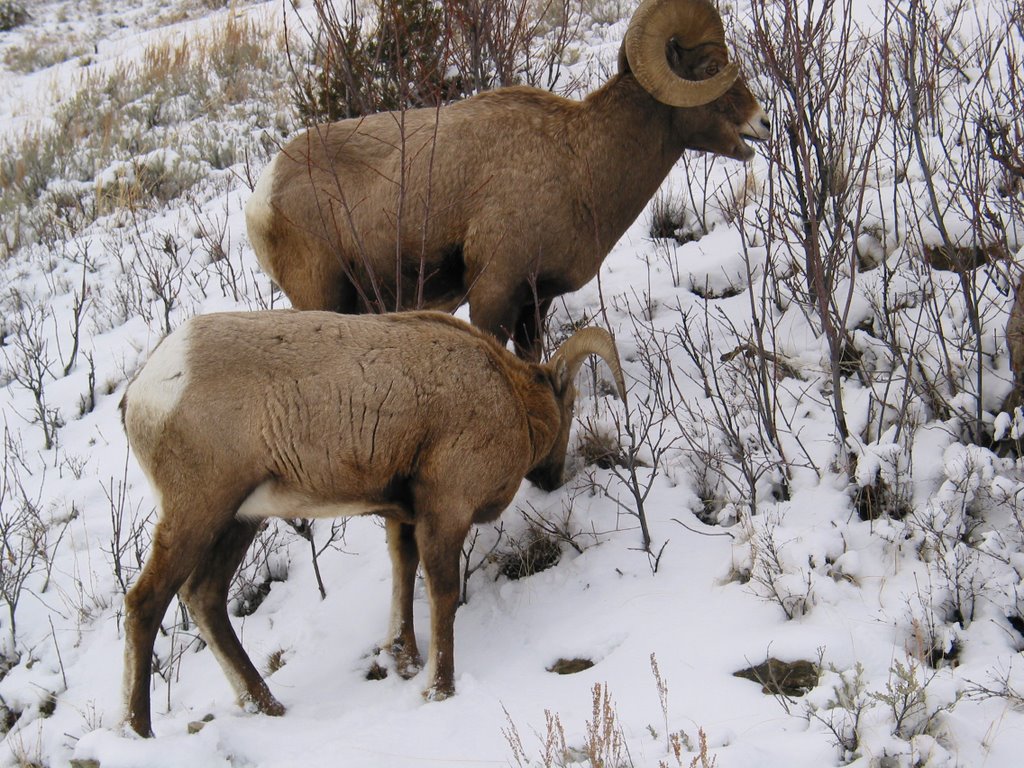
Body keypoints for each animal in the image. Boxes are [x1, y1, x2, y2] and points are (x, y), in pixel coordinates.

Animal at [119, 309, 622, 737]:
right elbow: (442, 594)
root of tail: (144, 391)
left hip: (240, 520)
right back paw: (139, 730)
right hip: (198, 513)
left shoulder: (404, 516)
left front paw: (405, 660)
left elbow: (403, 572)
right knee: (146, 603)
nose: (552, 479)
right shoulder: (446, 509)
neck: (506, 395)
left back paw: (267, 705)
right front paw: (439, 689)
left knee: (204, 598)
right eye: (571, 405)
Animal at [245, 0, 770, 360]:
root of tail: (262, 198)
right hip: (323, 298)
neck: (581, 163)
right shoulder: (494, 296)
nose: (762, 124)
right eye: (710, 68)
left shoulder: (535, 305)